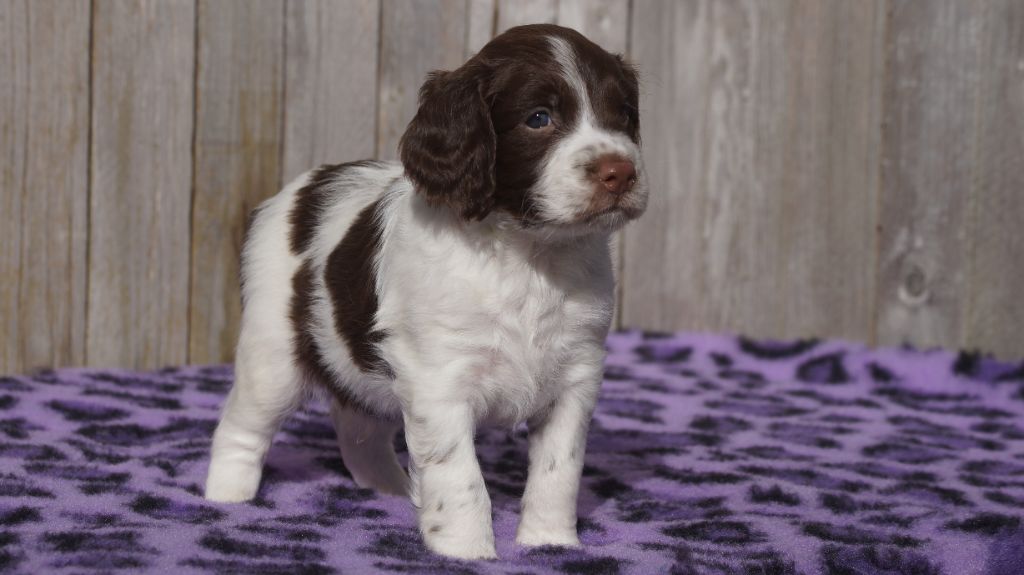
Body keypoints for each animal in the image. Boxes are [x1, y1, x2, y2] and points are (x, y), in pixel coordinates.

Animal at [202, 24, 643, 556]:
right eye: (539, 118)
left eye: (623, 114)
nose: (621, 172)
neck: (529, 255)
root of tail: (301, 188)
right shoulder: (440, 381)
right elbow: (460, 476)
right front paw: (467, 552)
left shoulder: (576, 375)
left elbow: (559, 470)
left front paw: (549, 543)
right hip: (273, 356)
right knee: (241, 425)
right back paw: (227, 497)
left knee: (360, 431)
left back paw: (395, 489)